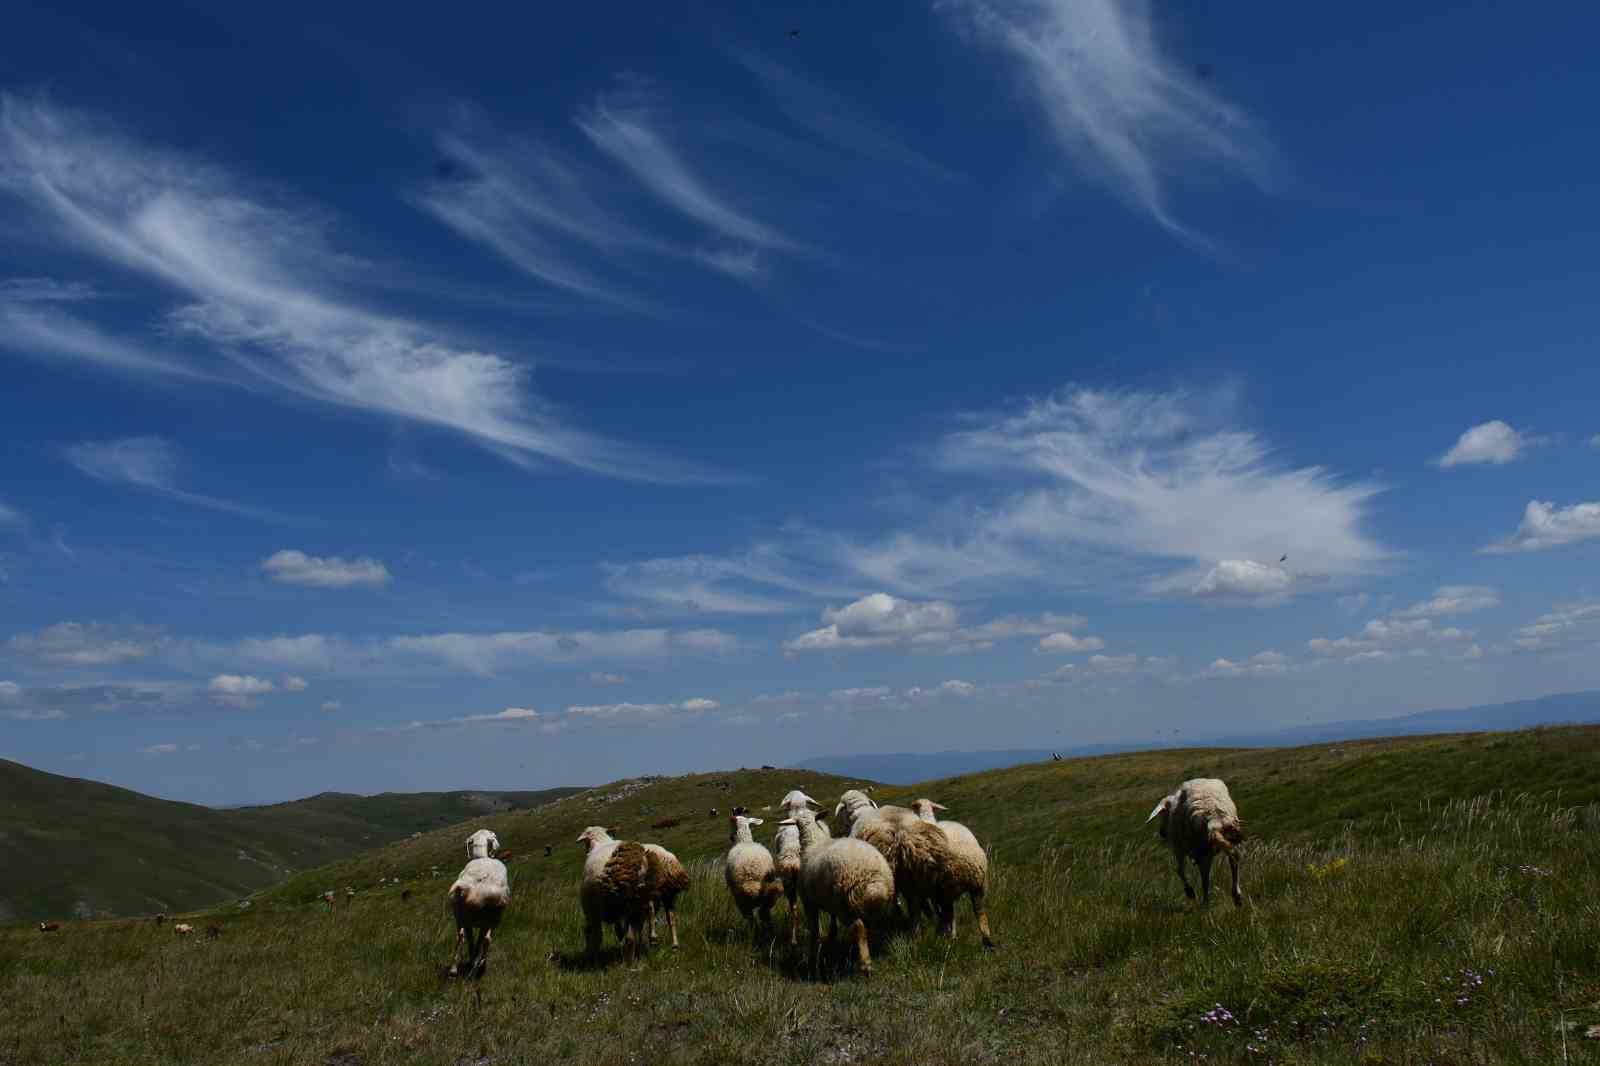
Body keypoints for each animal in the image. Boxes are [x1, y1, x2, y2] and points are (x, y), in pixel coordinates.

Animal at [448, 825, 508, 973]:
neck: (481, 857)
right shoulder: (484, 922)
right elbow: (481, 939)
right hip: (492, 917)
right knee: (486, 939)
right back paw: (479, 964)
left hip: (461, 916)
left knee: (461, 937)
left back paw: (455, 968)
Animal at [777, 806, 896, 973]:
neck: (813, 842)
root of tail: (873, 879)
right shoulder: (829, 900)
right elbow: (832, 924)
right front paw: (831, 938)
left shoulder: (809, 902)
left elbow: (814, 931)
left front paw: (812, 956)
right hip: (865, 904)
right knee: (869, 927)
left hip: (844, 904)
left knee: (859, 928)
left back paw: (865, 964)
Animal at [908, 797, 992, 947]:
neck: (928, 819)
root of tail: (964, 864)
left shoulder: (933, 890)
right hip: (978, 886)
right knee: (980, 914)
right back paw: (987, 940)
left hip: (946, 887)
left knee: (947, 914)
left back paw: (945, 937)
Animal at [1145, 771, 1241, 902]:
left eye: (1163, 814)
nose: (1162, 833)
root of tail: (1212, 815)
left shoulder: (1179, 848)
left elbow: (1179, 870)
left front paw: (1190, 892)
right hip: (1227, 836)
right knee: (1233, 858)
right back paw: (1236, 895)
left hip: (1201, 849)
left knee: (1205, 878)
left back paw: (1205, 901)